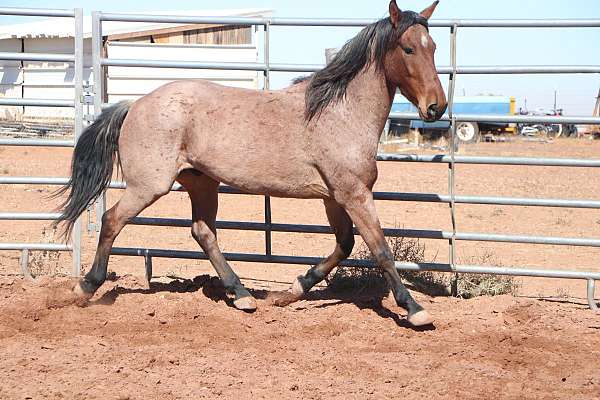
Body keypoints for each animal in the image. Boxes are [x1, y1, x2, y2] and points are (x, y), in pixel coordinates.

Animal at [55, 0, 446, 328]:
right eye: (408, 49)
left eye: (433, 48)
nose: (436, 107)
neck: (339, 113)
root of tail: (134, 104)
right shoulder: (354, 194)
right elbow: (380, 250)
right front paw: (415, 310)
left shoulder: (334, 197)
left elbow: (345, 245)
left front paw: (291, 291)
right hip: (149, 185)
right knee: (112, 220)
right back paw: (86, 288)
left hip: (201, 181)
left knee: (203, 232)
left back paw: (242, 295)